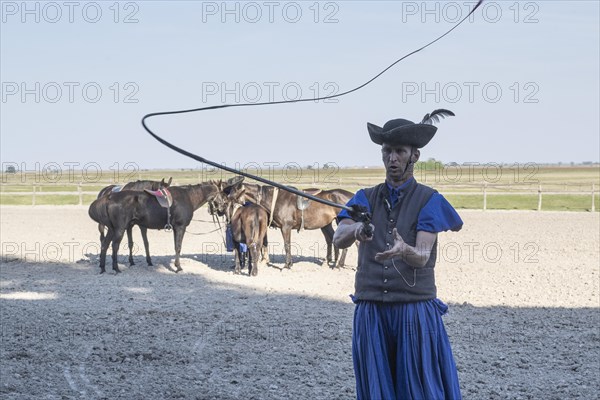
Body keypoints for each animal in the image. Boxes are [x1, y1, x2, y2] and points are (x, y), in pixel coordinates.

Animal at [89, 180, 227, 274]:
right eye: (222, 193)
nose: (223, 209)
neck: (188, 197)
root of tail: (110, 196)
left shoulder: (175, 228)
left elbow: (175, 246)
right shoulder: (180, 227)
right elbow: (178, 247)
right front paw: (178, 267)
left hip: (112, 229)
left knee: (105, 245)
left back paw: (103, 268)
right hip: (119, 229)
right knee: (114, 246)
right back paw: (116, 268)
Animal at [220, 180, 352, 268]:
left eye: (231, 196)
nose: (222, 211)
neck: (275, 199)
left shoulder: (286, 227)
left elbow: (287, 245)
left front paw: (287, 265)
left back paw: (339, 264)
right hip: (326, 224)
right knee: (332, 239)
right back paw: (333, 262)